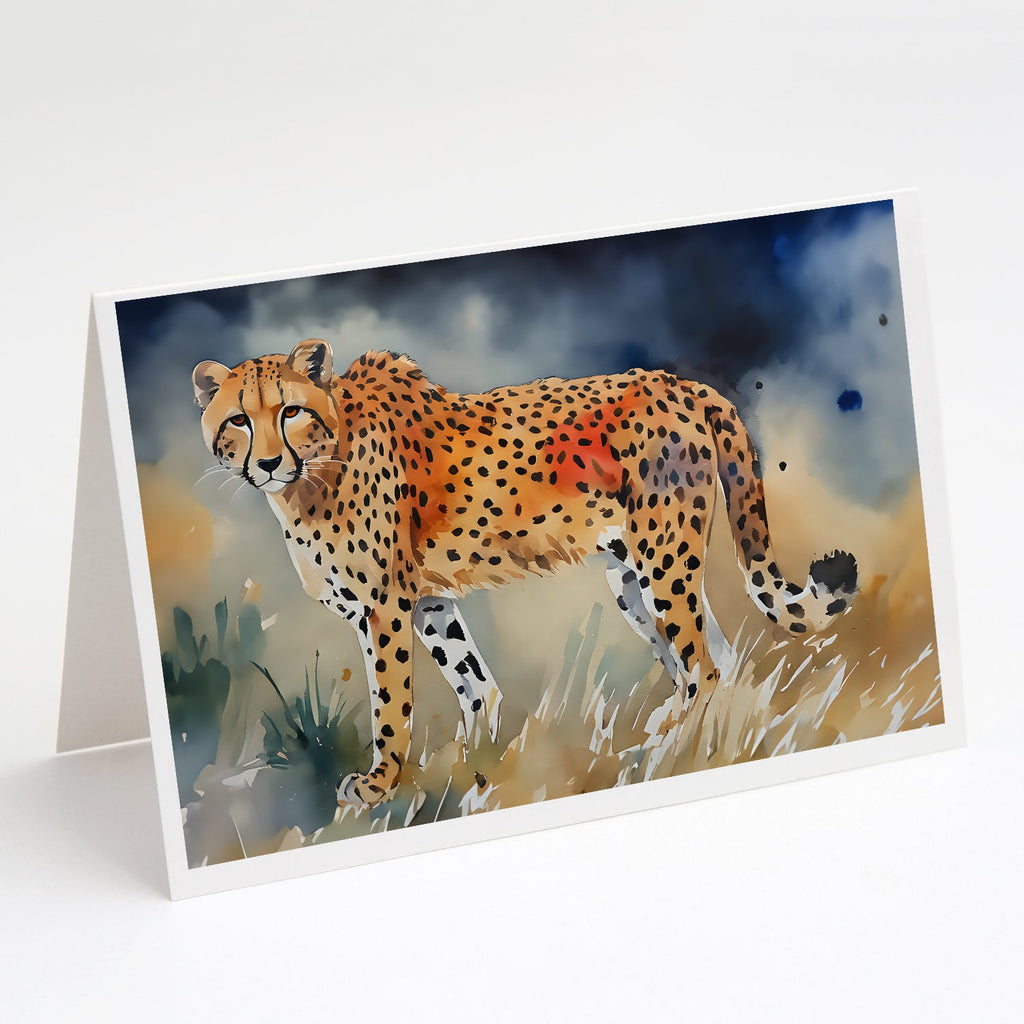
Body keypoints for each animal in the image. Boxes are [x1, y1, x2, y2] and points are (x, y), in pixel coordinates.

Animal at [193, 339, 857, 807]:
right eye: (238, 421)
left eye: (290, 411)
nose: (267, 463)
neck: (311, 475)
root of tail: (681, 383)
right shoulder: (428, 602)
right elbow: (473, 682)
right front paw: (475, 758)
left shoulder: (384, 608)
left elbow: (390, 701)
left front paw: (380, 784)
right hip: (632, 577)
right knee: (716, 657)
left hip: (664, 559)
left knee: (704, 663)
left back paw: (668, 746)